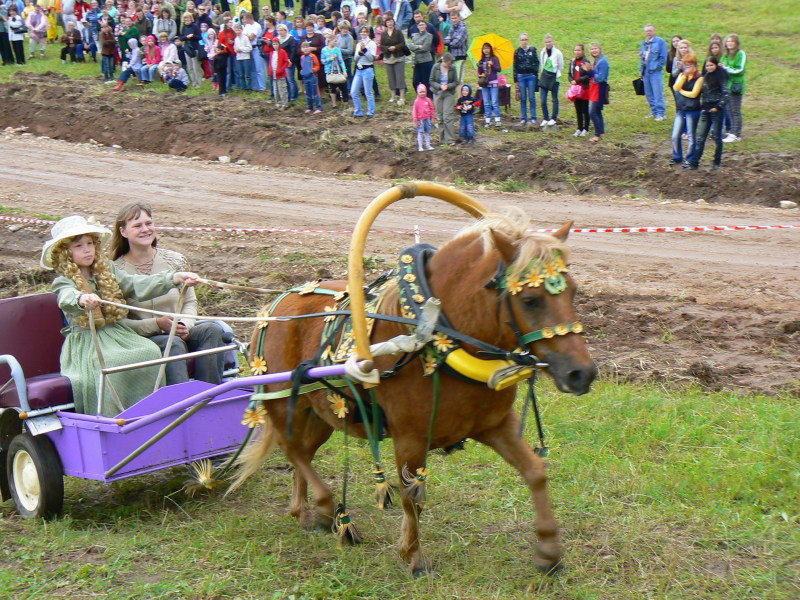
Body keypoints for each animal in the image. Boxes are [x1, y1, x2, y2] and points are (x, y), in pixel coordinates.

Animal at [231, 211, 592, 576]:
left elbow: (535, 472)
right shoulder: (410, 438)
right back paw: (326, 506)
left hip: (322, 412)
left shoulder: (495, 425)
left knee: (303, 452)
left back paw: (304, 511)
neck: (435, 338)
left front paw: (548, 550)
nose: (582, 374)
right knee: (292, 450)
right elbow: (412, 498)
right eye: (530, 300)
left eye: (574, 292)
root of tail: (279, 303)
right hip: (281, 398)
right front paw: (414, 557)